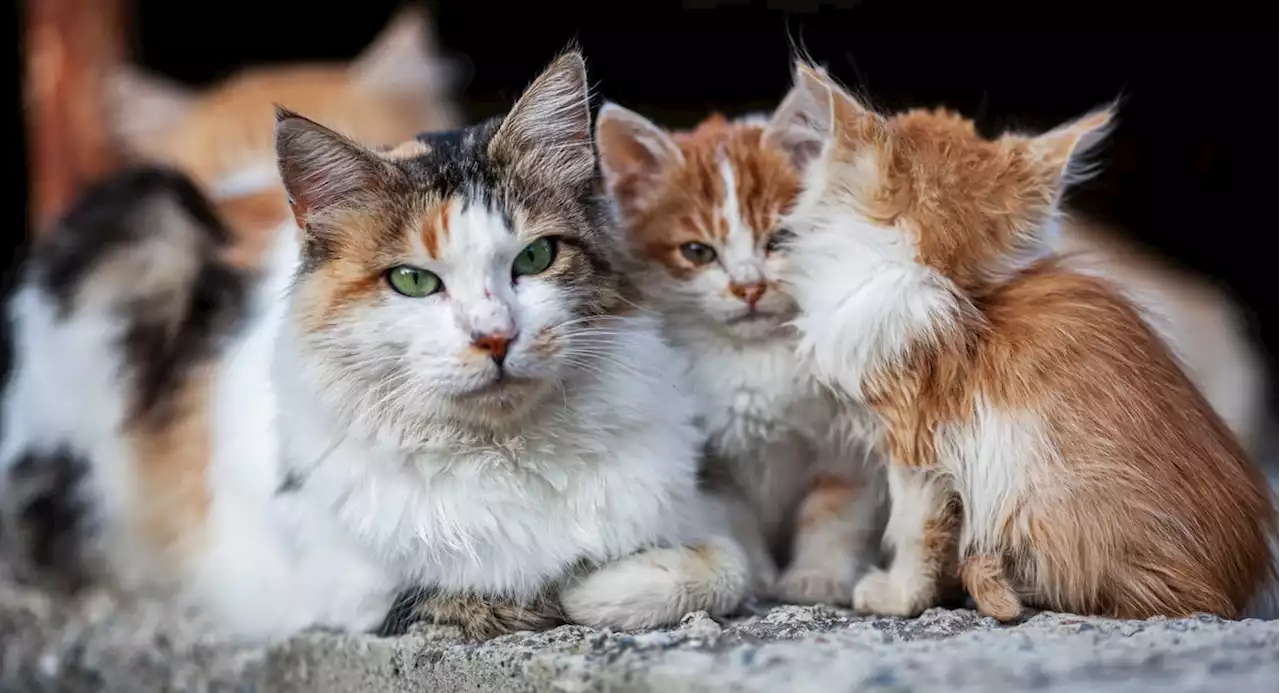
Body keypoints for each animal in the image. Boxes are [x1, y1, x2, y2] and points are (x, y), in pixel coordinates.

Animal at [0, 52, 747, 637]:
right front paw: (587, 588)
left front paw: (621, 582)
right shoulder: (337, 586)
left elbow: (726, 566)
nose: (495, 336)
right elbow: (496, 593)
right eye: (413, 280)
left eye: (534, 257)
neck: (507, 454)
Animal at [768, 62, 1280, 619]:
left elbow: (915, 528)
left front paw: (900, 596)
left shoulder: (916, 442)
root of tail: (1236, 589)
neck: (948, 285)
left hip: (1039, 503)